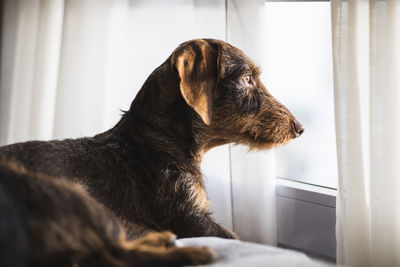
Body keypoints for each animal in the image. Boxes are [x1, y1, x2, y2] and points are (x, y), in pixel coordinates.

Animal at [0, 39, 304, 266]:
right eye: (247, 78)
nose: (299, 128)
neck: (156, 141)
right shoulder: (192, 220)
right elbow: (232, 235)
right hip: (70, 196)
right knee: (111, 256)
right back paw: (193, 253)